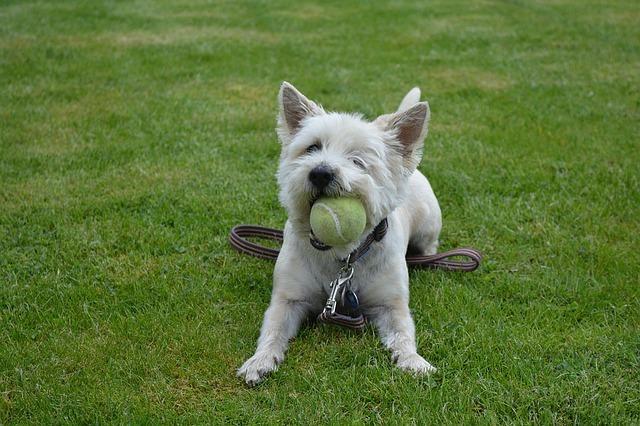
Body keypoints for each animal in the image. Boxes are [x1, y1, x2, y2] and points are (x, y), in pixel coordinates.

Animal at [238, 80, 442, 386]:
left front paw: (413, 361)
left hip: (429, 224)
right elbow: (272, 330)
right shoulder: (288, 299)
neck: (340, 258)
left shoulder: (391, 304)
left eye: (358, 161)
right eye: (312, 148)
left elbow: (402, 334)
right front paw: (259, 361)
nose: (320, 173)